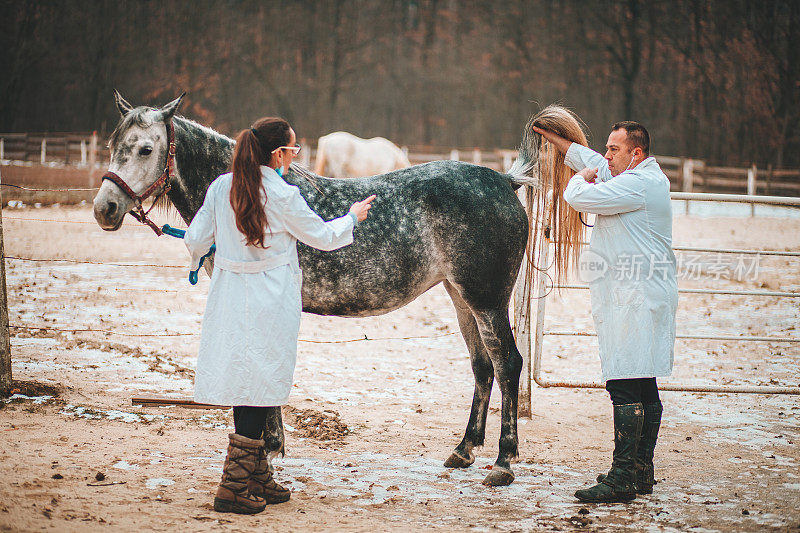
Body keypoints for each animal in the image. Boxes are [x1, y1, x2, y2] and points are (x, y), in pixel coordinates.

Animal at [94, 92, 584, 486]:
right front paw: (272, 444)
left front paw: (271, 445)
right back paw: (463, 451)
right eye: (114, 146)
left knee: (508, 364)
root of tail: (504, 180)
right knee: (483, 367)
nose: (105, 208)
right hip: (460, 297)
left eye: (145, 148)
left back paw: (503, 462)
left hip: (486, 300)